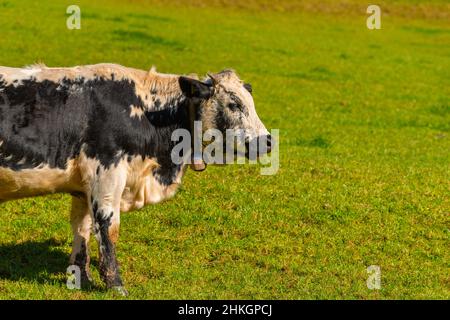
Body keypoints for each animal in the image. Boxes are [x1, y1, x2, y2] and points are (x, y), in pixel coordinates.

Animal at [0, 63, 270, 296]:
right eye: (234, 104)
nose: (268, 141)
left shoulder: (84, 187)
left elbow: (82, 228)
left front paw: (81, 277)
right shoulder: (106, 174)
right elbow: (108, 228)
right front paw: (116, 285)